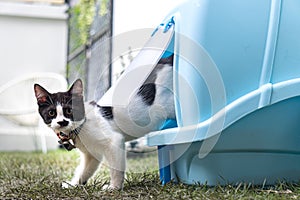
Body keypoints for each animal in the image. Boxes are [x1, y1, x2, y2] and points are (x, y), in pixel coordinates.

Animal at [33, 54, 175, 189]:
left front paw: (114, 187)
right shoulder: (91, 154)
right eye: (51, 113)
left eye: (69, 110)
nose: (62, 122)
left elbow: (116, 168)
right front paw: (74, 184)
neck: (81, 127)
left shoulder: (114, 140)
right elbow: (85, 170)